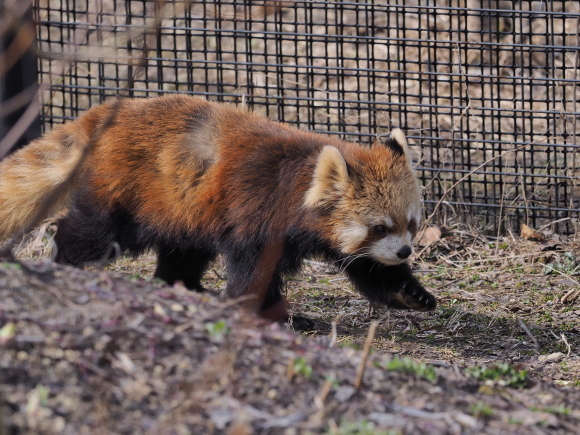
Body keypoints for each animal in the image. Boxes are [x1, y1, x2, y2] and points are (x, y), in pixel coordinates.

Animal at [0, 95, 436, 326]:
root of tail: (107, 113)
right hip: (127, 194)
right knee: (94, 234)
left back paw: (188, 288)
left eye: (411, 224)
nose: (405, 251)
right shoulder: (257, 216)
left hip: (185, 208)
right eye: (378, 227)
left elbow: (369, 269)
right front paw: (272, 316)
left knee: (184, 251)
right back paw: (63, 262)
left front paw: (411, 293)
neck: (300, 183)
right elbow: (253, 272)